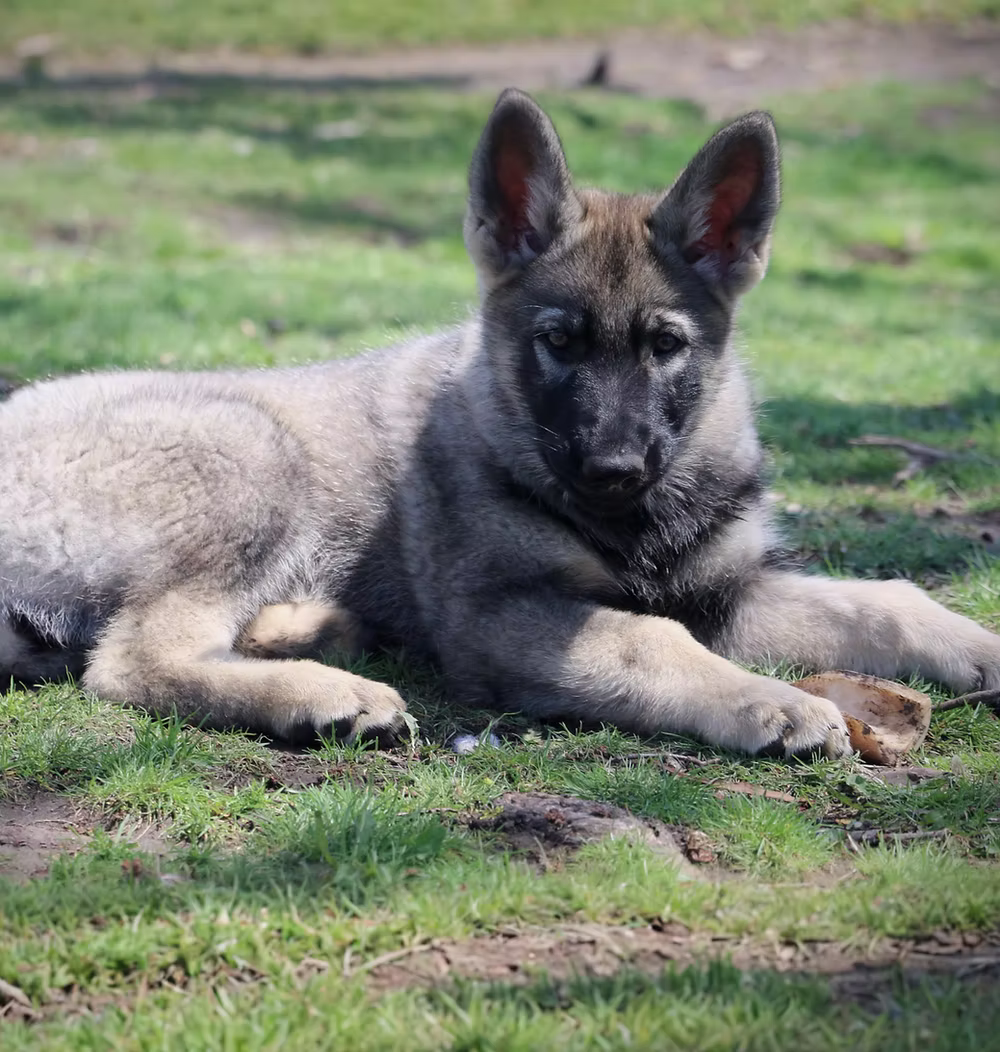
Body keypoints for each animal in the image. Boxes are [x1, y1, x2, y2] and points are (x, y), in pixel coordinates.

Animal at [2, 89, 997, 757]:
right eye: (555, 342)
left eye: (666, 346)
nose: (613, 469)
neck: (640, 520)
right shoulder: (506, 615)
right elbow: (648, 639)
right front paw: (770, 703)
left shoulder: (726, 591)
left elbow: (884, 599)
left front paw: (979, 647)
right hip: (253, 457)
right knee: (132, 662)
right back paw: (323, 691)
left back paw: (310, 632)